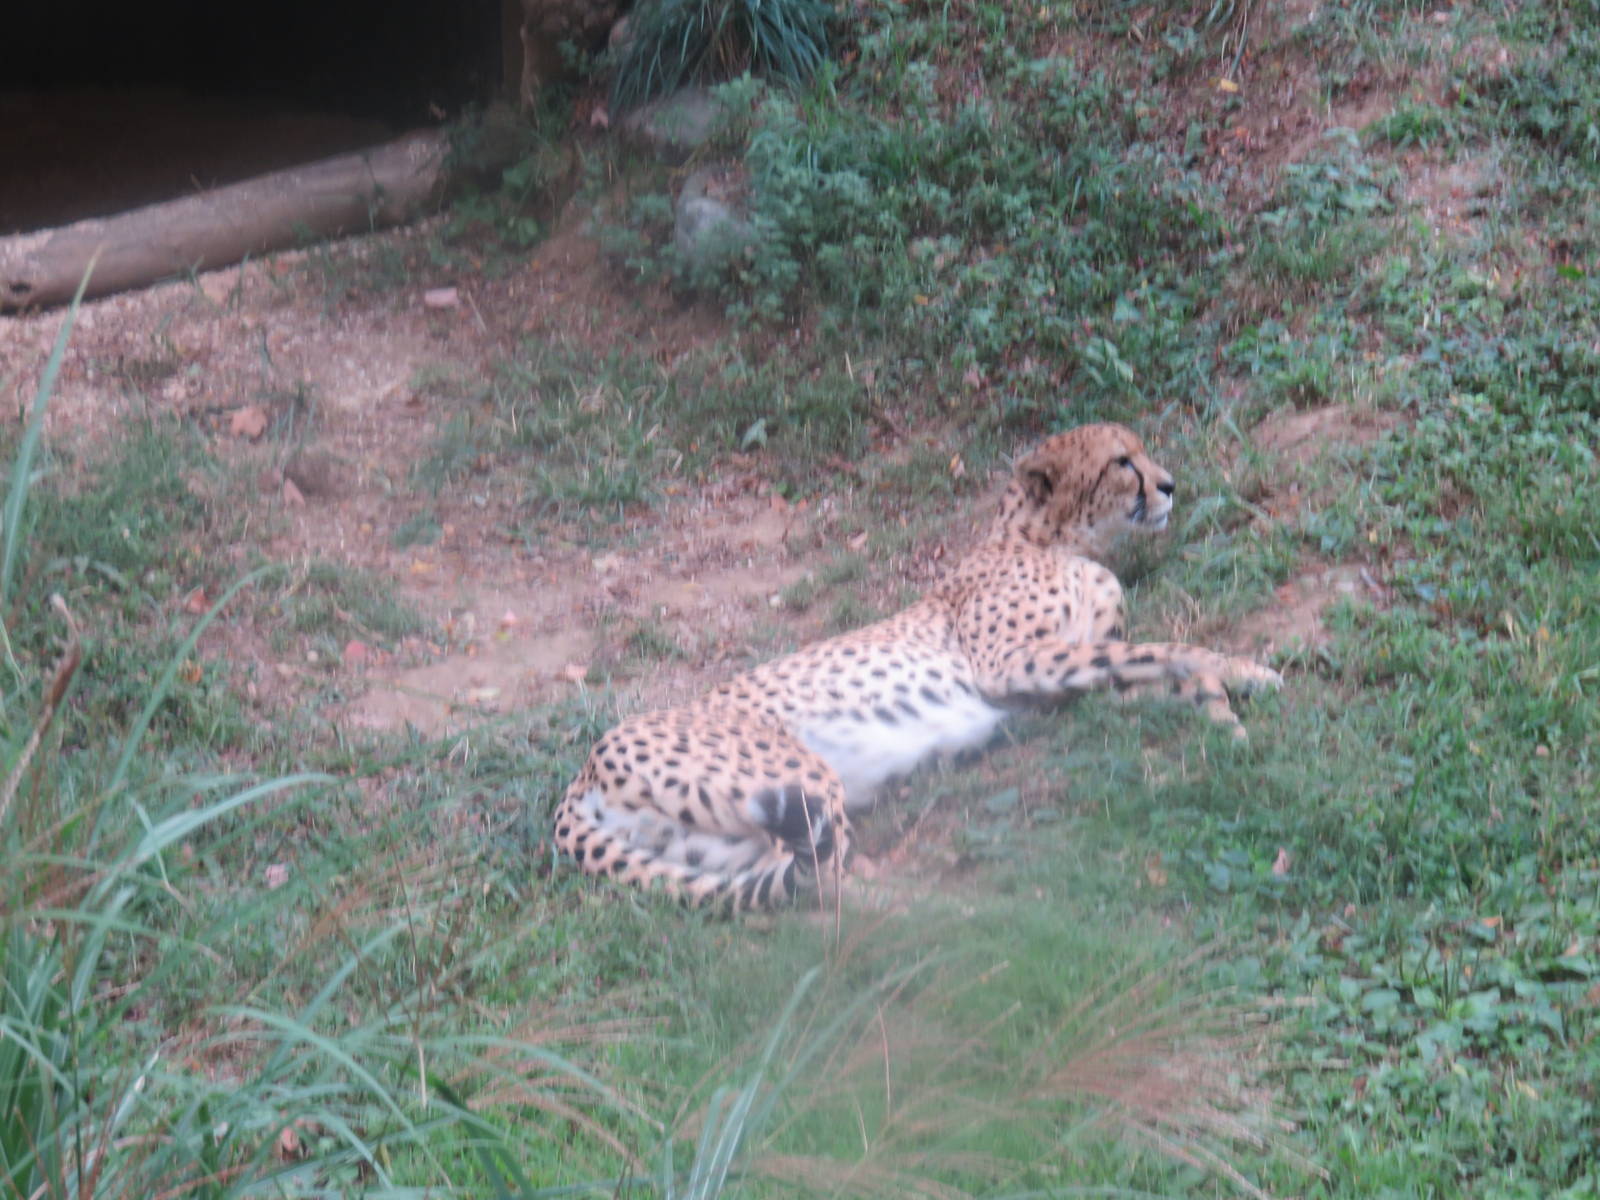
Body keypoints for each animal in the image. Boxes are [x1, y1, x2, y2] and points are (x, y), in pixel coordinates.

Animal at [551, 422, 1282, 910]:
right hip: (796, 776)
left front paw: (1221, 714)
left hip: (719, 838)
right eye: (1121, 462)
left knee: (781, 882)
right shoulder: (1008, 664)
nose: (1170, 486)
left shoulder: (1052, 687)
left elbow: (1149, 671)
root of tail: (584, 769)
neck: (1052, 540)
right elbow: (1168, 650)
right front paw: (1246, 674)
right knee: (822, 881)